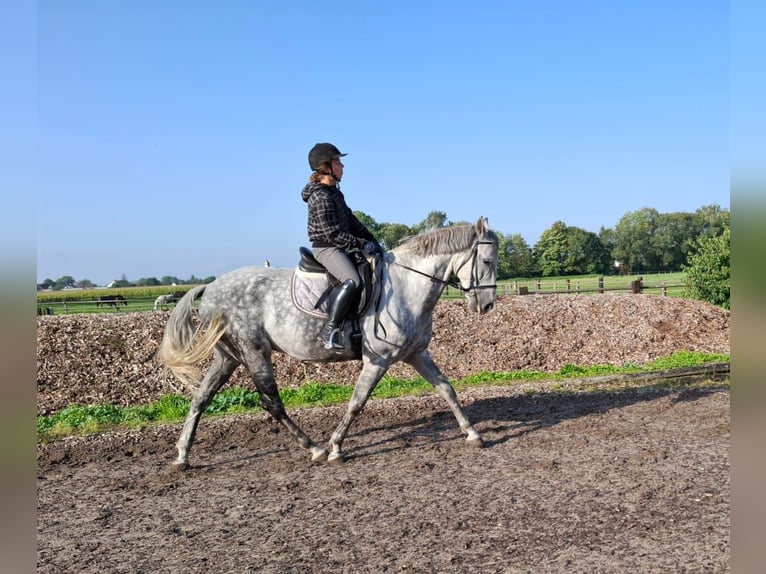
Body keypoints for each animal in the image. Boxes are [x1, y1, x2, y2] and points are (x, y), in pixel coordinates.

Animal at [159, 218, 500, 470]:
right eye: (486, 260)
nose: (486, 305)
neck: (406, 287)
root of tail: (211, 287)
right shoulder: (378, 359)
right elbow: (357, 402)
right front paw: (336, 447)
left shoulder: (416, 353)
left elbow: (446, 389)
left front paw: (472, 433)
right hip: (254, 351)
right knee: (271, 402)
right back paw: (315, 448)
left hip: (228, 357)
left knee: (201, 398)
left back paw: (182, 455)